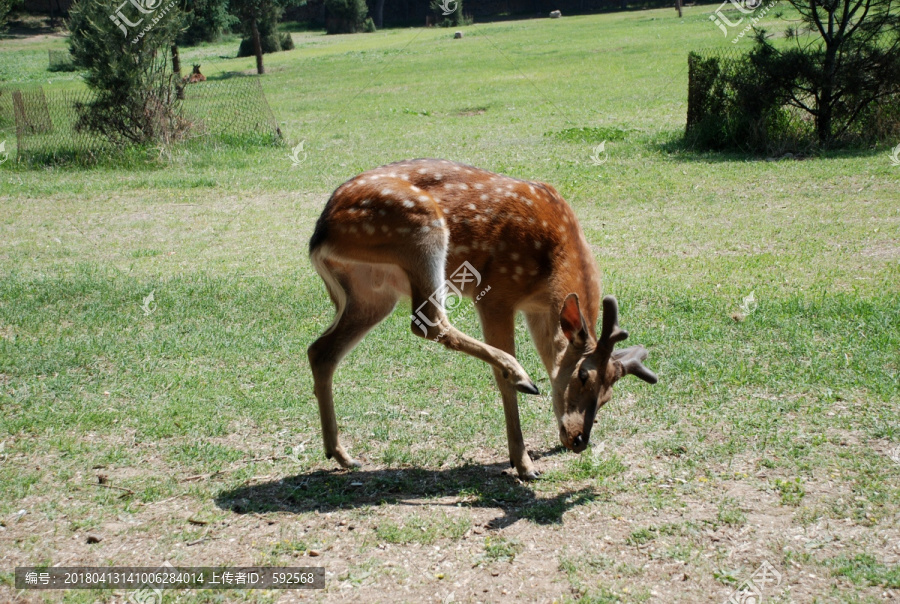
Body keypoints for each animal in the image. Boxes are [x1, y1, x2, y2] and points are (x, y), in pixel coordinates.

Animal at [308, 158, 652, 478]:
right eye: (583, 376)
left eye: (607, 396)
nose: (579, 440)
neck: (553, 261)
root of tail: (319, 236)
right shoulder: (498, 292)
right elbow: (502, 380)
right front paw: (523, 463)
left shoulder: (537, 309)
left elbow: (550, 358)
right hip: (419, 230)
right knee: (427, 321)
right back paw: (521, 376)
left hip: (372, 292)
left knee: (321, 350)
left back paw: (341, 454)